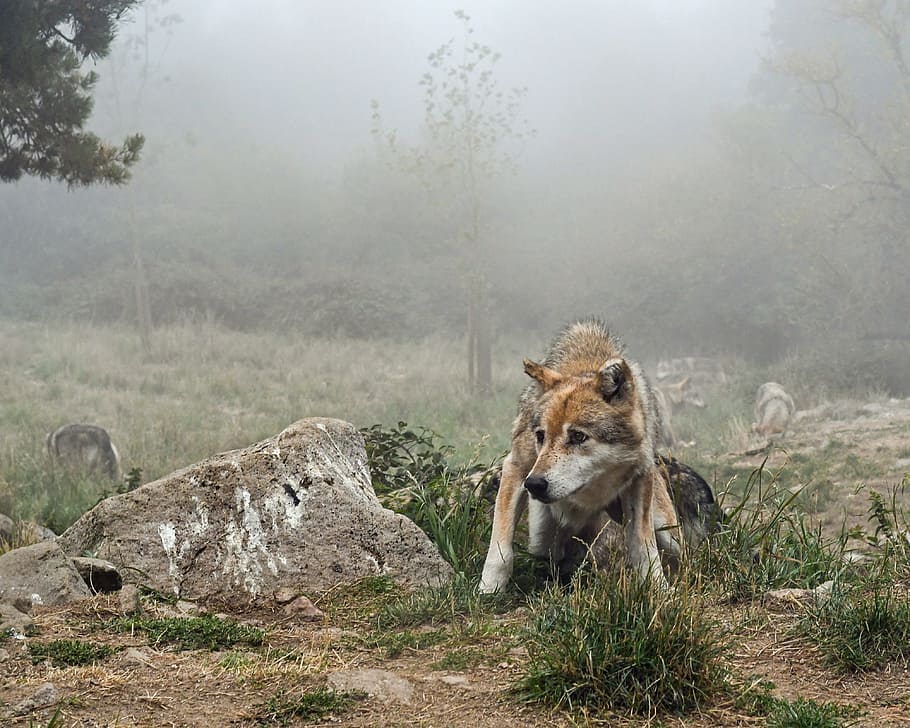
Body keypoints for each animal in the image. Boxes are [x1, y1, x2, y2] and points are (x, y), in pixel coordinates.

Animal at [479, 320, 720, 593]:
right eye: (540, 435)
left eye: (578, 436)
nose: (534, 484)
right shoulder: (517, 467)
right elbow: (501, 547)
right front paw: (488, 590)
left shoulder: (640, 479)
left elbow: (644, 546)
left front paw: (660, 590)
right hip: (542, 533)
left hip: (668, 530)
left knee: (684, 554)